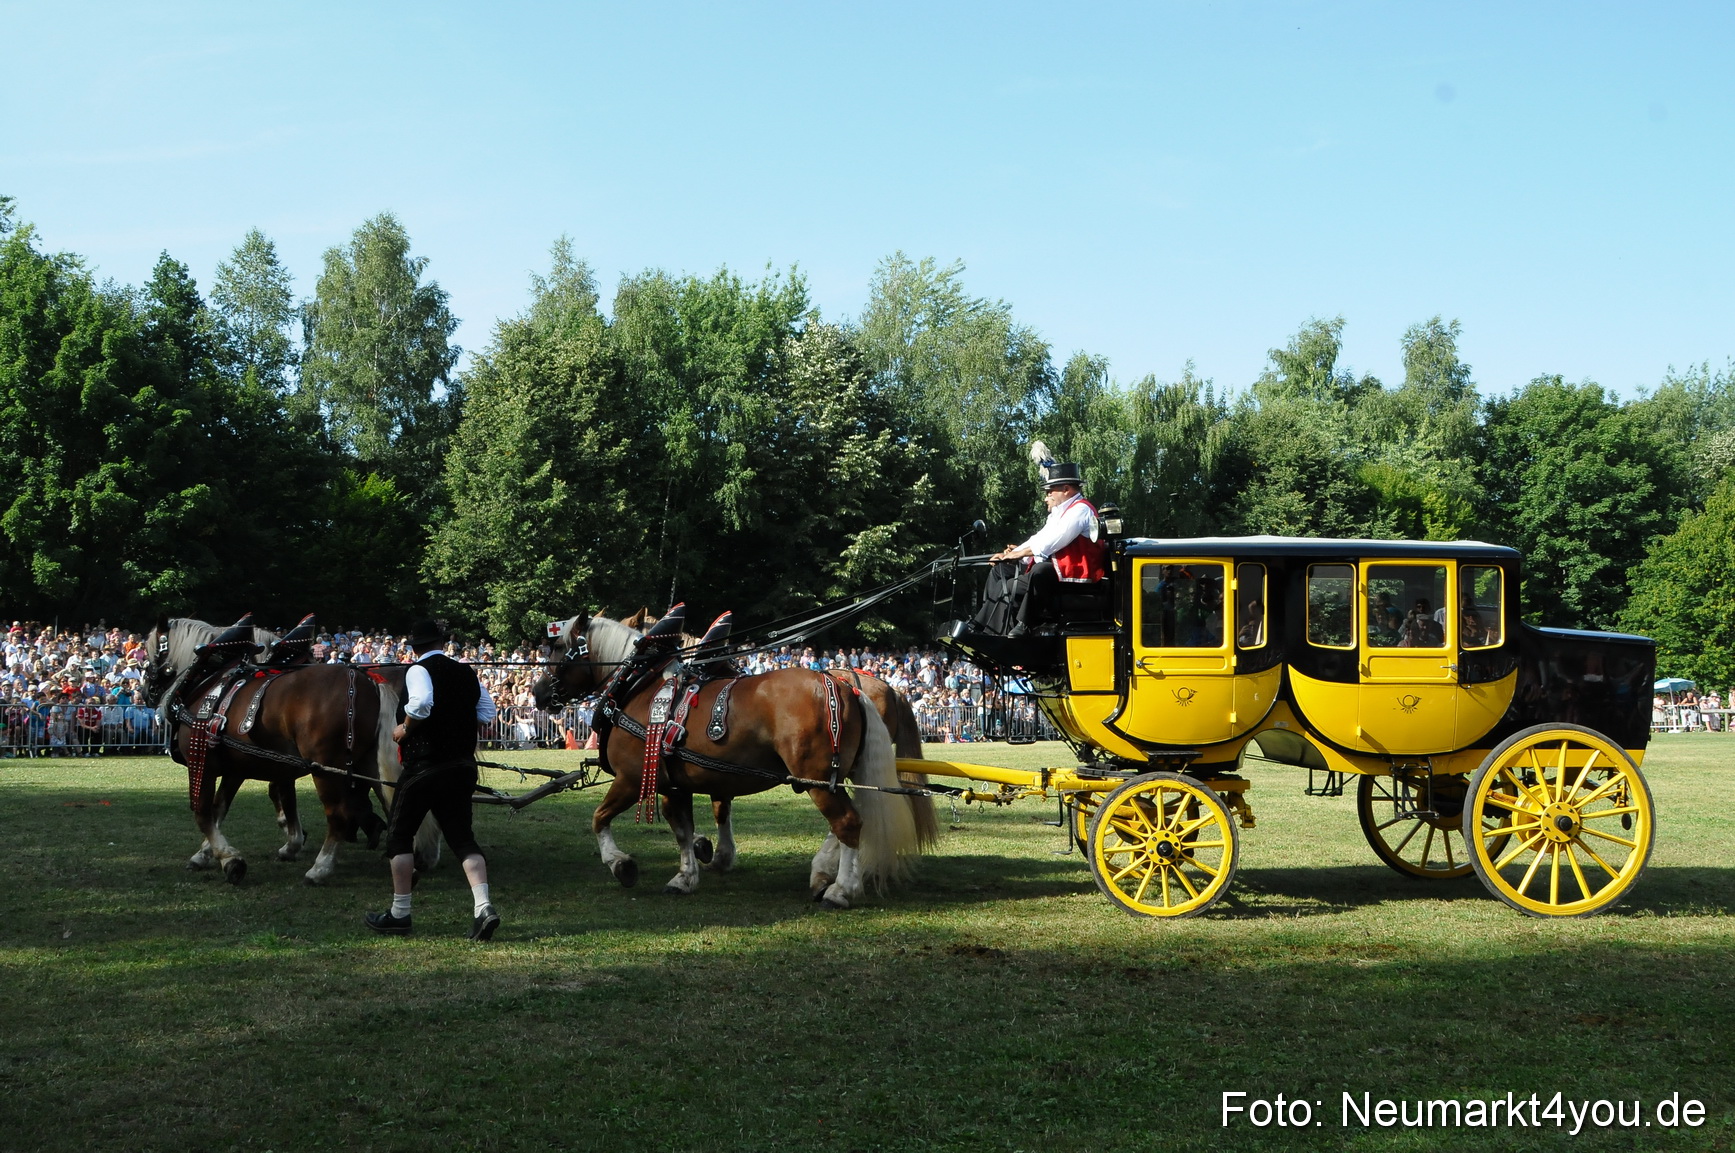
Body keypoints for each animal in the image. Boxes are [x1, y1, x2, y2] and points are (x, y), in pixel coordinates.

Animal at [142, 617, 436, 884]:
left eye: (151, 654)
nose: (146, 693)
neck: (209, 681)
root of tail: (368, 681)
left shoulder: (201, 760)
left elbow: (203, 812)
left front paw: (230, 859)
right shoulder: (238, 768)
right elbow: (221, 809)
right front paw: (206, 853)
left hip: (325, 769)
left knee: (339, 814)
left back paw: (320, 868)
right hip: (368, 763)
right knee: (394, 803)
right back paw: (406, 862)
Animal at [532, 612, 927, 907]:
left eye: (559, 646)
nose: (538, 692)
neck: (640, 686)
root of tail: (846, 687)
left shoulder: (631, 778)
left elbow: (599, 818)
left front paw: (621, 864)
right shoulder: (675, 784)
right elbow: (683, 828)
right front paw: (687, 874)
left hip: (816, 779)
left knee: (847, 823)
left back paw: (841, 890)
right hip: (832, 778)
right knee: (846, 823)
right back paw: (825, 875)